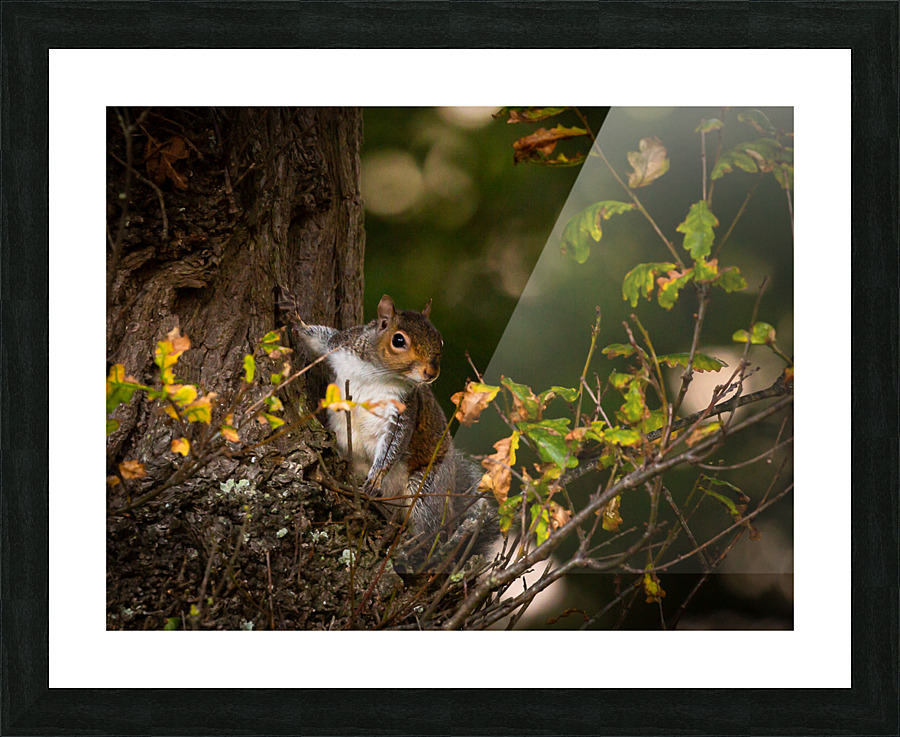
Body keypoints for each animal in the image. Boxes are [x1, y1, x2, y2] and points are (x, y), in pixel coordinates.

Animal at [279, 291, 495, 574]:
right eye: (398, 340)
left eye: (439, 340)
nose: (431, 372)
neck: (378, 373)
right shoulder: (342, 346)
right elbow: (319, 337)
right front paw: (293, 316)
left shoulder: (402, 411)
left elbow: (392, 446)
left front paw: (375, 479)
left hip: (426, 487)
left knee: (427, 528)